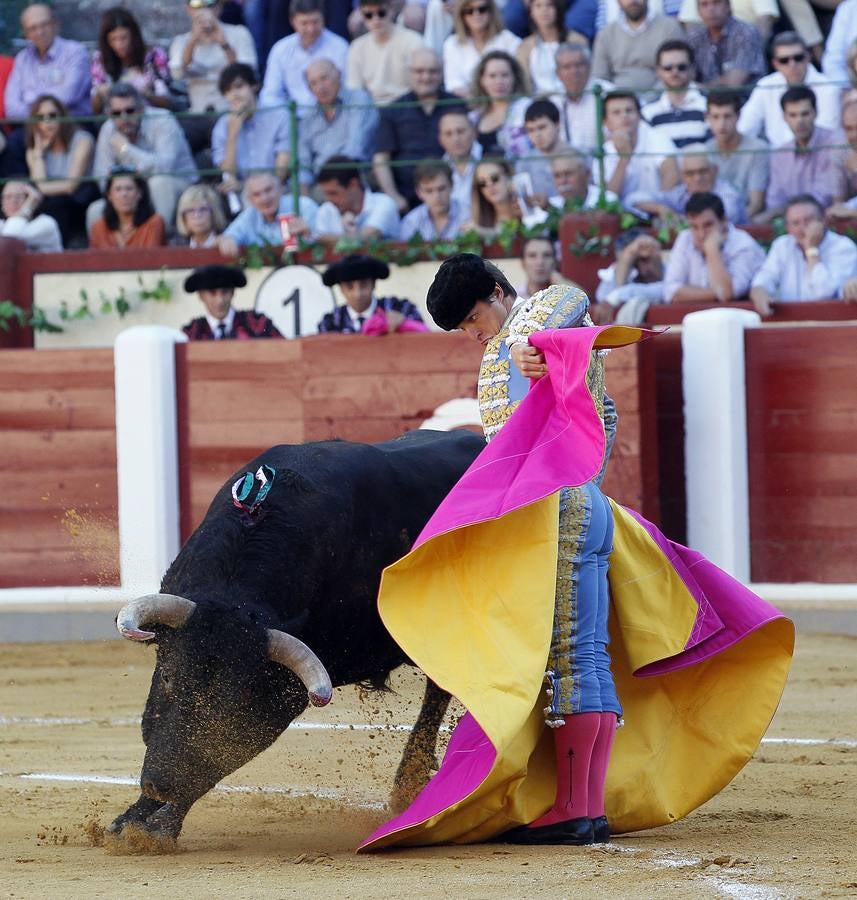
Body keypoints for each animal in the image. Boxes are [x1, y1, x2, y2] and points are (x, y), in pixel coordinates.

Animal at [108, 428, 482, 844]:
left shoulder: (279, 701)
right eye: (169, 678)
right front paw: (129, 820)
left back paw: (407, 785)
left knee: (439, 689)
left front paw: (160, 826)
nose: (160, 785)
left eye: (238, 705)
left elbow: (216, 758)